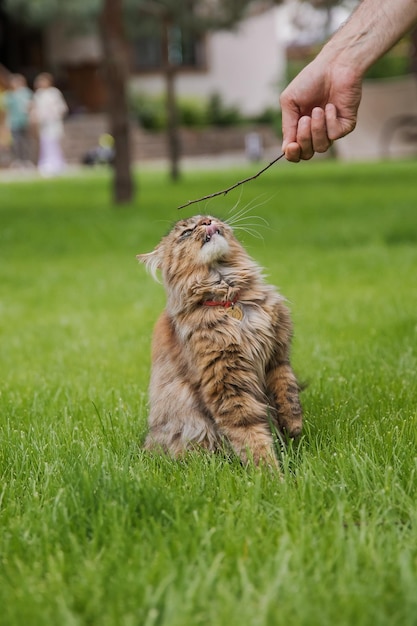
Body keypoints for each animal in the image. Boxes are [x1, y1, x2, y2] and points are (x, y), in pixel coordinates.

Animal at [138, 214, 300, 464]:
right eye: (186, 232)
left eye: (211, 218)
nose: (206, 222)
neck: (229, 297)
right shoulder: (227, 383)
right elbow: (251, 434)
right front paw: (270, 471)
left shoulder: (277, 357)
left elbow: (288, 393)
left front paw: (294, 427)